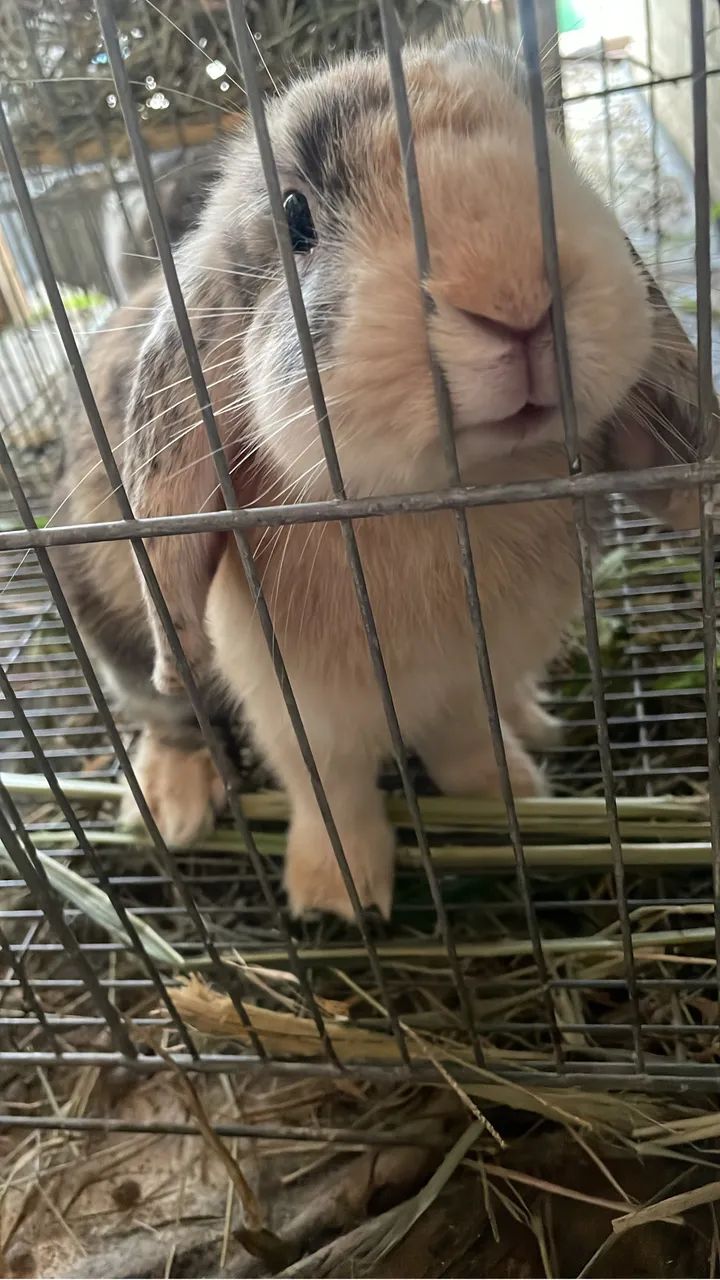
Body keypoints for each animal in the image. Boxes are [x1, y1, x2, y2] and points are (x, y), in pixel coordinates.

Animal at [53, 37, 713, 920]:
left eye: (553, 157)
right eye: (296, 216)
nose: (516, 298)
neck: (437, 501)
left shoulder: (465, 680)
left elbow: (463, 741)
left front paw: (506, 797)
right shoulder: (294, 709)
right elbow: (330, 791)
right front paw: (337, 894)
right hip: (113, 627)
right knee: (165, 713)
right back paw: (175, 804)